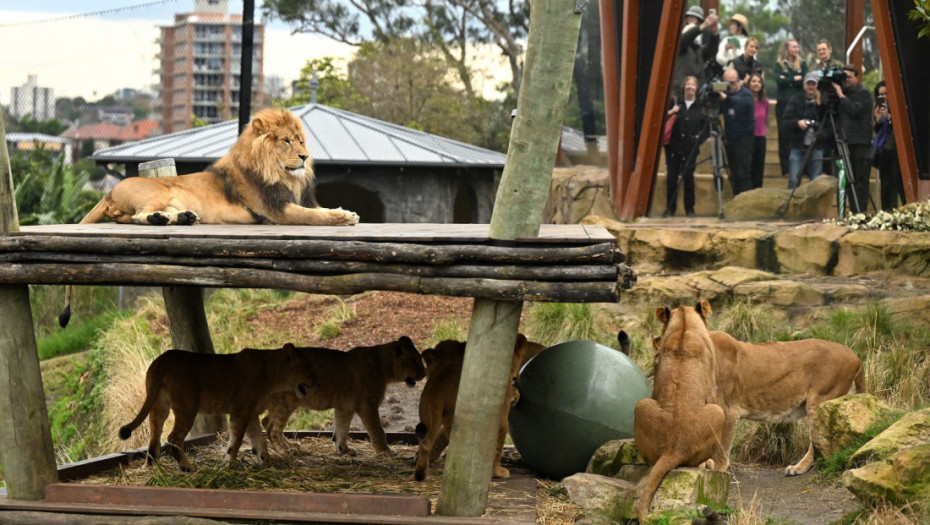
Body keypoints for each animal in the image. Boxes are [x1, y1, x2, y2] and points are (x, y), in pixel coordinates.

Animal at [58, 106, 356, 326]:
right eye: (286, 141)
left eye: (301, 141)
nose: (305, 157)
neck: (281, 174)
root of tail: (110, 191)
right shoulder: (276, 211)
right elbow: (314, 216)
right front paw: (345, 217)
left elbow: (318, 210)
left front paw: (344, 212)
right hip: (157, 193)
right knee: (137, 218)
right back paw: (159, 220)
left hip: (170, 200)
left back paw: (184, 218)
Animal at [118, 344, 314, 470]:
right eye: (308, 369)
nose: (315, 382)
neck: (273, 373)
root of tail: (163, 359)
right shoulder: (241, 411)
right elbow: (237, 439)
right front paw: (230, 463)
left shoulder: (251, 413)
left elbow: (259, 439)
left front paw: (266, 460)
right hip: (187, 406)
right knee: (173, 438)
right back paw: (187, 468)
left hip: (158, 405)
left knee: (154, 438)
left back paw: (151, 468)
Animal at [258, 336, 424, 454]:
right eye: (414, 360)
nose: (424, 373)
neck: (384, 366)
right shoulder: (367, 405)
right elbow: (377, 430)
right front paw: (386, 451)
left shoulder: (344, 407)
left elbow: (342, 429)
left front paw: (343, 450)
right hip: (287, 402)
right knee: (273, 428)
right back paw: (286, 451)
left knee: (266, 422)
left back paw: (290, 446)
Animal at [408, 334, 532, 482]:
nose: (517, 377)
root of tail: (437, 391)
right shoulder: (501, 413)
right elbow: (498, 444)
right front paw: (497, 472)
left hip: (428, 416)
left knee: (428, 442)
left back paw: (420, 472)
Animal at [636, 300, 728, 520]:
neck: (684, 327)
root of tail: (673, 449)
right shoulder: (712, 389)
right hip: (718, 411)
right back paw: (706, 465)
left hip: (641, 404)